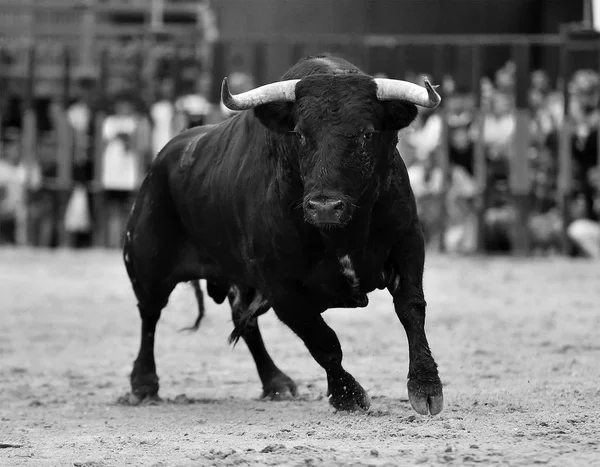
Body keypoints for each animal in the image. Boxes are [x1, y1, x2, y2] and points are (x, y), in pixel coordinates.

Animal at [123, 53, 446, 414]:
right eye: (300, 135)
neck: (342, 233)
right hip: (147, 265)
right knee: (149, 315)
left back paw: (276, 381)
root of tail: (161, 160)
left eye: (367, 134)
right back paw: (143, 384)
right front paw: (348, 395)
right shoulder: (281, 285)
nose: (323, 207)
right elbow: (323, 341)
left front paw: (426, 386)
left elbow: (411, 308)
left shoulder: (408, 243)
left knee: (244, 323)